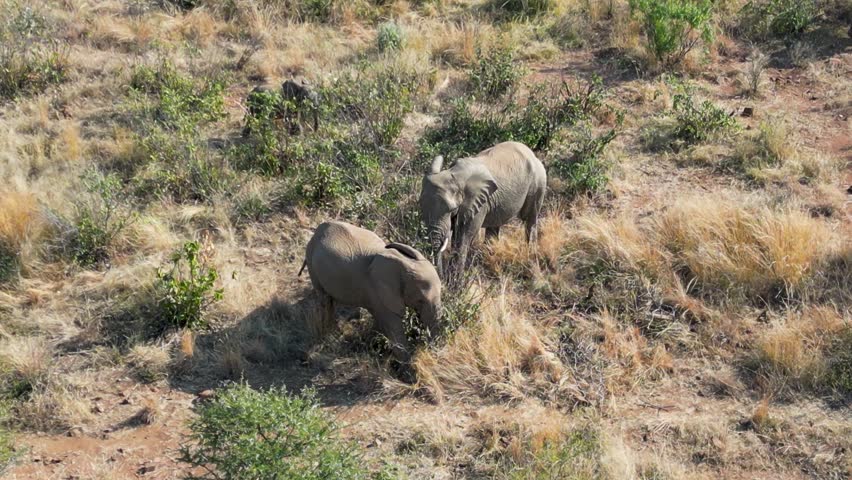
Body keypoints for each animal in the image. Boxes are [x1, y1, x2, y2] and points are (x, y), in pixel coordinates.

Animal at [299, 221, 442, 363]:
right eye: (420, 300)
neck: (403, 262)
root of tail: (316, 232)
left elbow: (381, 320)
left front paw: (373, 345)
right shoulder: (379, 290)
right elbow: (393, 325)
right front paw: (405, 366)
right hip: (311, 261)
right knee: (325, 299)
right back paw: (328, 332)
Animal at [419, 141, 547, 279]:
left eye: (452, 209)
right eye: (422, 209)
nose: (440, 277)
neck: (455, 177)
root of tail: (532, 153)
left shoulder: (478, 203)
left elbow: (463, 237)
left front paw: (455, 282)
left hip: (538, 183)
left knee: (530, 219)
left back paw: (531, 261)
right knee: (494, 226)